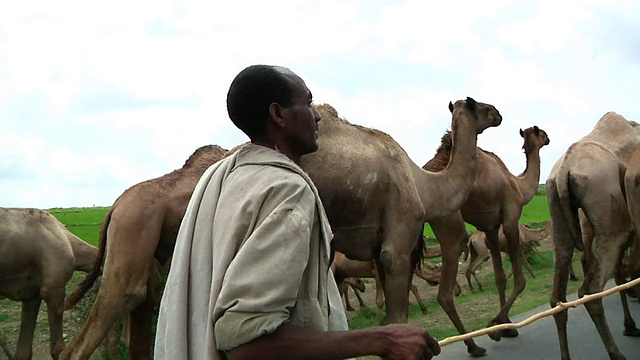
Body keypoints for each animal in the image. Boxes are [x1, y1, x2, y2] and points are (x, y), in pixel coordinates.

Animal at [302, 97, 502, 326]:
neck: (422, 185)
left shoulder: (377, 250)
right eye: (478, 105)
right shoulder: (398, 243)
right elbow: (397, 316)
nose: (497, 113)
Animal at [424, 124, 552, 354]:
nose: (549, 138)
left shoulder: (491, 229)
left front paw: (506, 327)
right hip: (449, 221)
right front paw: (495, 327)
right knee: (444, 293)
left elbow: (500, 278)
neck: (519, 186)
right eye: (541, 133)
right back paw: (473, 346)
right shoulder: (510, 219)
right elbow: (520, 280)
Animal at [544, 112, 640, 360]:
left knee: (557, 297)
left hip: (557, 213)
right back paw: (617, 353)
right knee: (592, 290)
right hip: (612, 221)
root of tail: (563, 172)